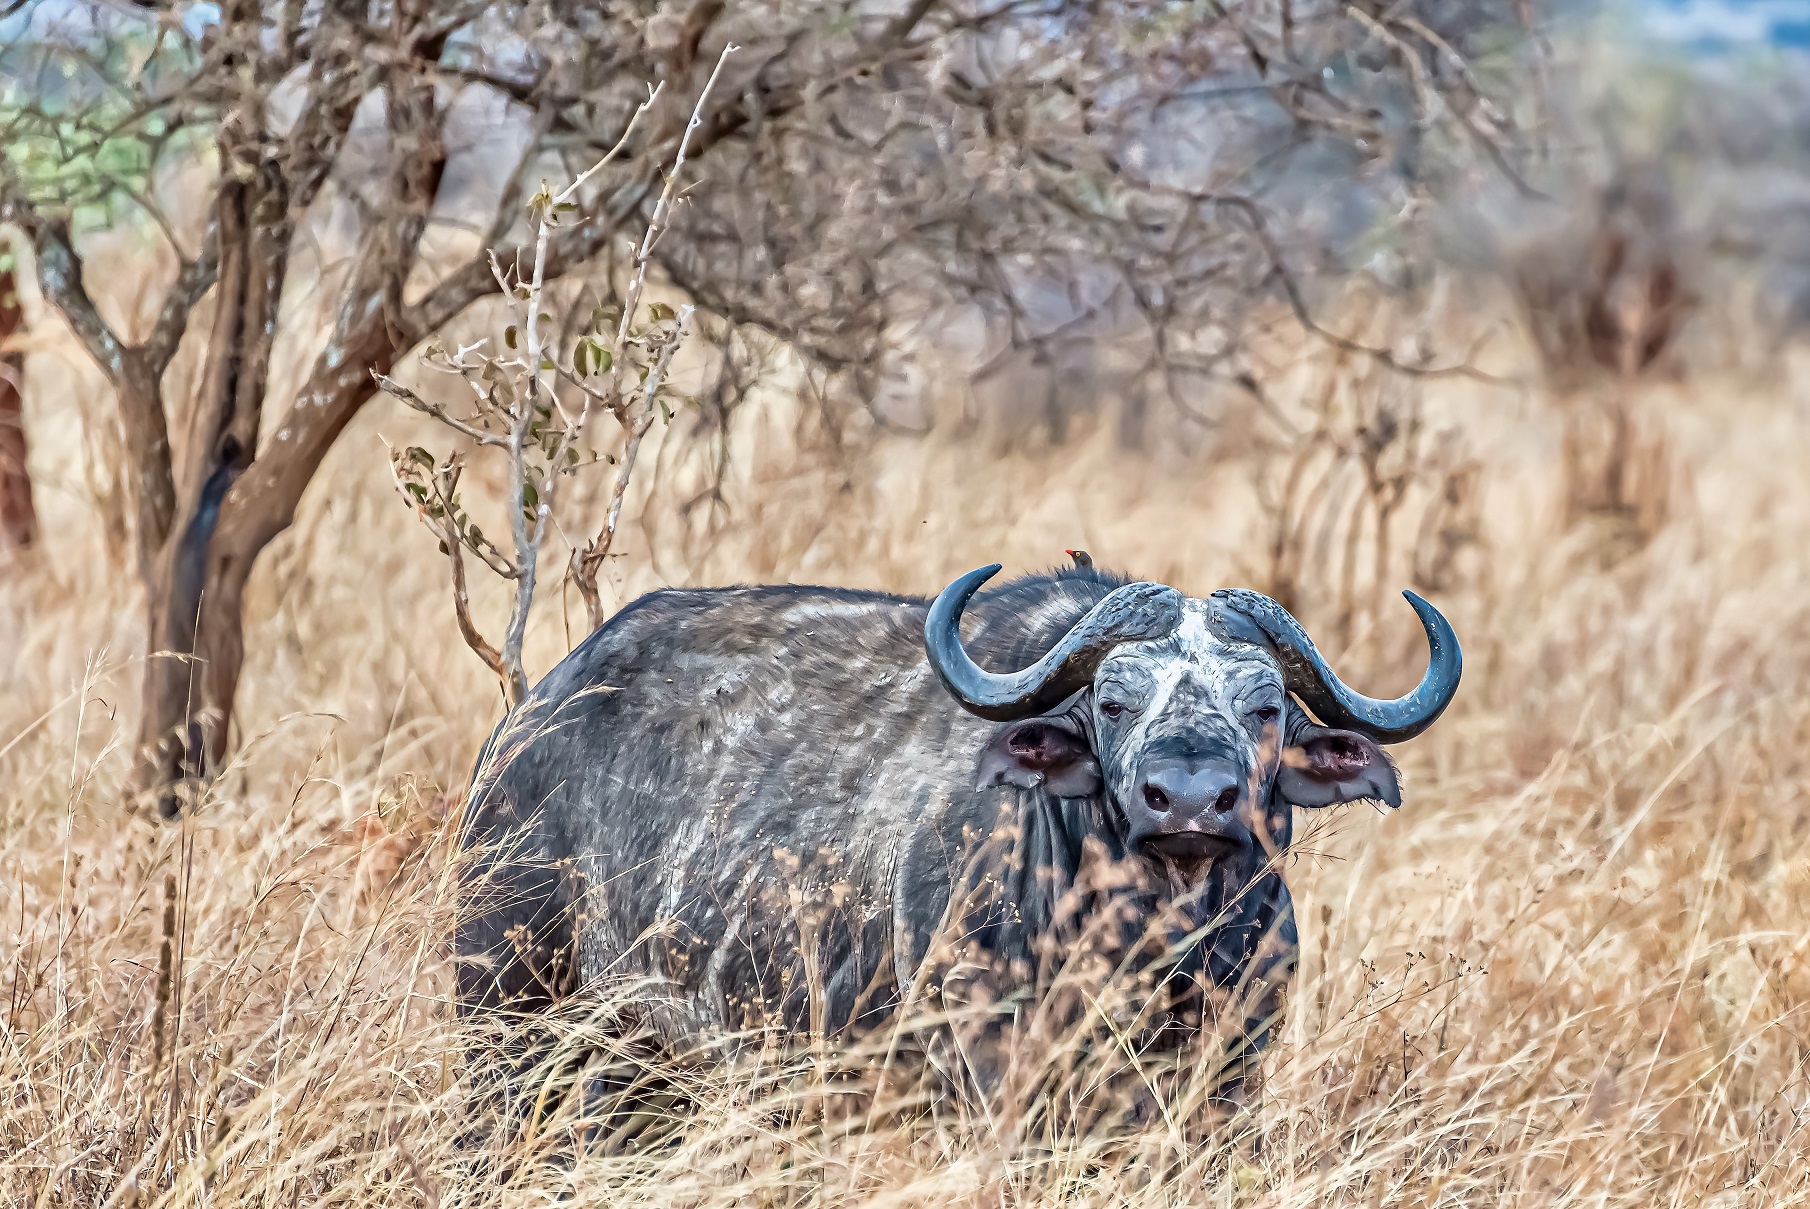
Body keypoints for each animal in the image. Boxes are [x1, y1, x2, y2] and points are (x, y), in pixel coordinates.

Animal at [456, 561, 1455, 1107]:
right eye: (1113, 701)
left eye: (1265, 706)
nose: (1187, 801)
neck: (1157, 943)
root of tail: (528, 723)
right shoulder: (981, 1059)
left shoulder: (1232, 1069)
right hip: (511, 1017)